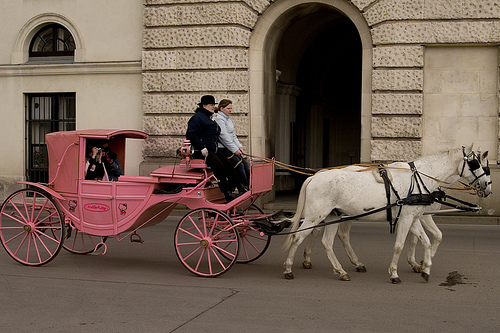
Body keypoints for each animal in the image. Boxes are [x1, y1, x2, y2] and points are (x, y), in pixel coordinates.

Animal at [284, 145, 490, 282]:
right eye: (475, 163)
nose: (487, 187)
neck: (419, 178)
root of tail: (314, 177)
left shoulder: (414, 217)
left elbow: (427, 240)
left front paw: (424, 267)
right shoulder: (409, 218)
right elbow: (400, 245)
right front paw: (395, 273)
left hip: (333, 215)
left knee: (327, 242)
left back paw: (341, 270)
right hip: (315, 216)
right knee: (297, 238)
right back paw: (288, 269)